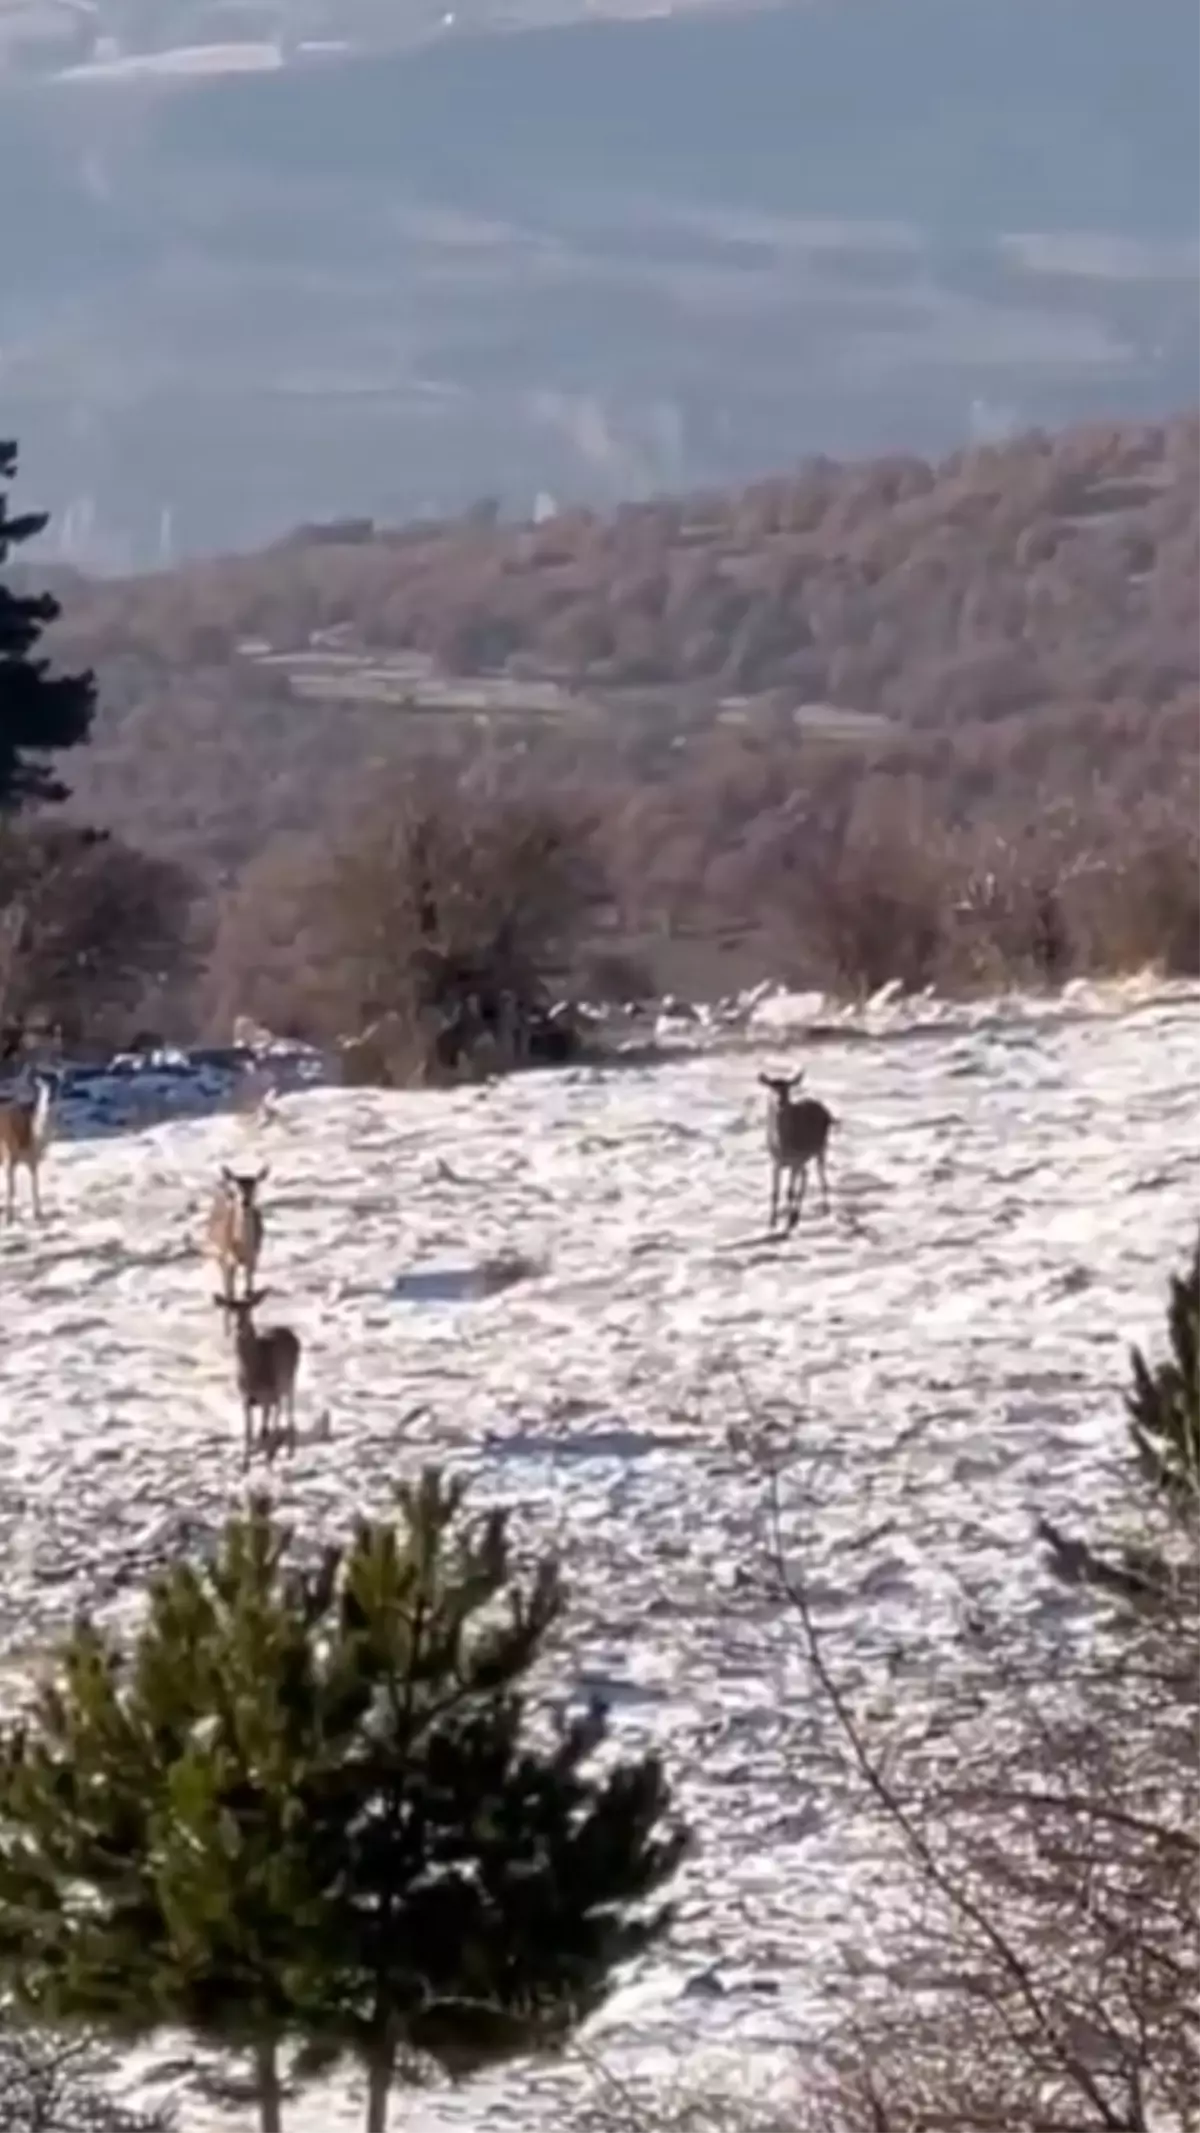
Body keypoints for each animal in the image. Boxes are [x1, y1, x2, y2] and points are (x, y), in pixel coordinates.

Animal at [0, 1075, 57, 1228]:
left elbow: (34, 1185)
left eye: (58, 1085)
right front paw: (8, 1219)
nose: (50, 1099)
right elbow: (11, 1188)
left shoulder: (33, 1161)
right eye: (41, 1086)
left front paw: (38, 1214)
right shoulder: (9, 1156)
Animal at [206, 1160, 267, 1322]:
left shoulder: (254, 1256)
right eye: (237, 1187)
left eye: (255, 1185)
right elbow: (230, 1293)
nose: (245, 1202)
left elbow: (248, 1290)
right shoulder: (228, 1259)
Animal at [215, 1279, 302, 1467]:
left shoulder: (271, 1394)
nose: (239, 1326)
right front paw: (245, 1463)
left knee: (287, 1411)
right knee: (272, 1415)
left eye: (249, 1309)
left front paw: (269, 1459)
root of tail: (288, 1331)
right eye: (232, 1309)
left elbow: (270, 1427)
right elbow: (248, 1431)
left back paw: (289, 1451)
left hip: (290, 1380)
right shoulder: (246, 1398)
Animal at [758, 1066, 835, 1237]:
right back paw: (796, 1216)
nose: (780, 1102)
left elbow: (789, 1191)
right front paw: (772, 1223)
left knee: (821, 1175)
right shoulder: (776, 1162)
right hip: (805, 1158)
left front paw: (786, 1224)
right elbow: (775, 1192)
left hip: (821, 1147)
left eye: (788, 1088)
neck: (783, 1145)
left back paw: (825, 1209)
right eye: (772, 1087)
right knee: (806, 1174)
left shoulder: (795, 1161)